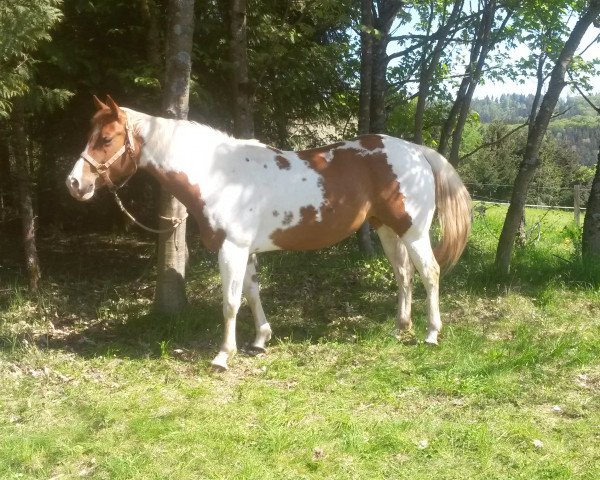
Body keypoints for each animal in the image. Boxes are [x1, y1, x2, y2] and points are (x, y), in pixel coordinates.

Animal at [64, 95, 468, 370]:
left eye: (106, 139)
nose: (74, 184)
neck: (218, 174)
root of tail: (414, 150)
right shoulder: (247, 251)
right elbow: (252, 294)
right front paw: (260, 340)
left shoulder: (231, 249)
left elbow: (230, 302)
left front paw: (222, 356)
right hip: (387, 230)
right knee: (404, 275)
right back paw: (400, 329)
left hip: (413, 232)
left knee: (429, 273)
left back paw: (432, 333)